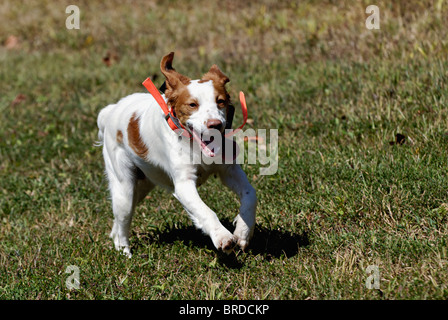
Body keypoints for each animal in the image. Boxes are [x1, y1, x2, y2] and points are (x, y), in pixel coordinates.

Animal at [98, 52, 258, 258]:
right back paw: (125, 254)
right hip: (124, 187)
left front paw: (243, 232)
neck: (194, 146)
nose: (215, 124)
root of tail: (110, 111)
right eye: (192, 105)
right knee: (122, 221)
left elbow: (250, 195)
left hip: (142, 185)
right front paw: (222, 237)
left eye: (220, 101)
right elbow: (206, 211)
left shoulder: (228, 170)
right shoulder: (183, 184)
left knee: (118, 223)